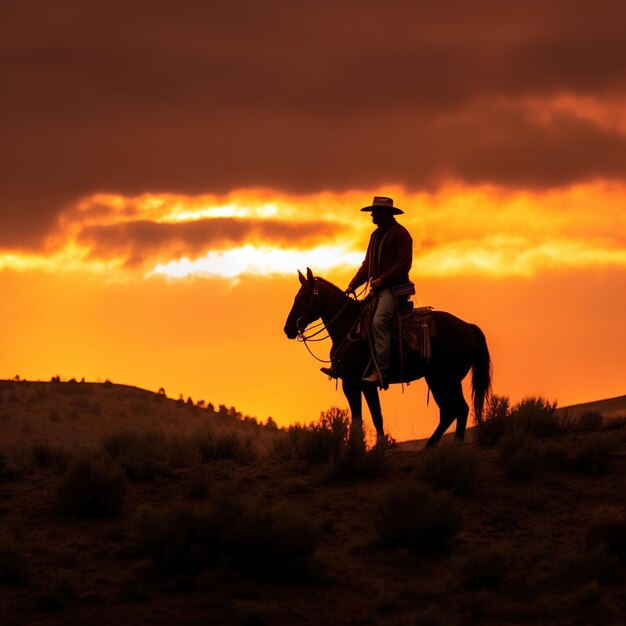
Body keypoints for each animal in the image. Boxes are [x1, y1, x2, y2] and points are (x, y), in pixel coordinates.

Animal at [282, 266, 492, 446]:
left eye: (302, 297)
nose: (288, 329)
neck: (349, 326)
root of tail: (468, 327)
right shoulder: (353, 384)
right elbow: (362, 417)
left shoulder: (360, 382)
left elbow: (372, 416)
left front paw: (373, 447)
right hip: (437, 379)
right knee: (449, 412)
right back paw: (431, 447)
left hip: (447, 379)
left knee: (459, 409)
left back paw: (452, 447)